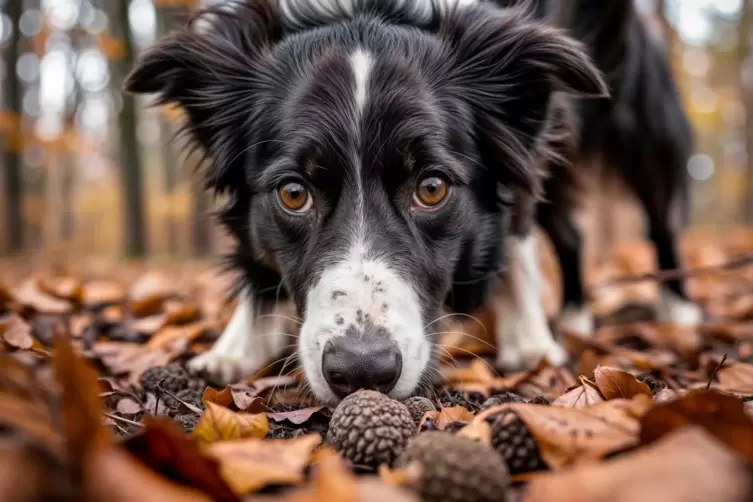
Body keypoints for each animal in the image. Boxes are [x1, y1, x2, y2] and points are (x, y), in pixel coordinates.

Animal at [128, 0, 700, 402]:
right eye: (293, 193)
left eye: (432, 188)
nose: (362, 371)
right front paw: (235, 347)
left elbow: (513, 234)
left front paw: (530, 341)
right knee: (571, 233)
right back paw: (577, 316)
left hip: (636, 125)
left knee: (658, 220)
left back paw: (678, 311)